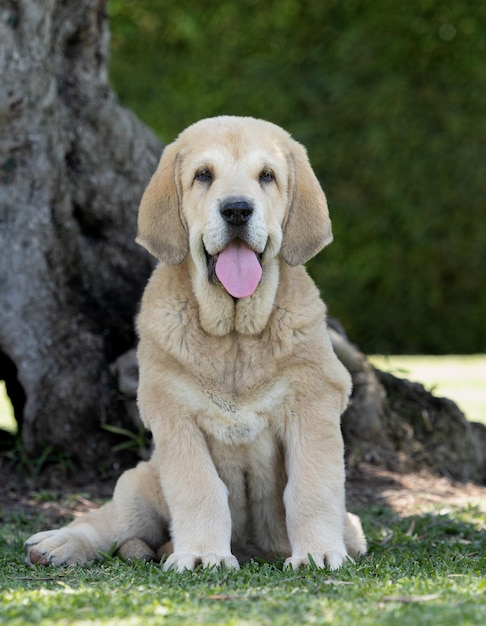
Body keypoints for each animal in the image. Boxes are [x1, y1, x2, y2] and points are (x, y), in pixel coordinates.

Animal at [22, 114, 364, 568]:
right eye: (203, 175)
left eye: (267, 176)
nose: (236, 209)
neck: (235, 337)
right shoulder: (172, 411)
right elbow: (199, 488)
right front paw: (202, 555)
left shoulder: (314, 401)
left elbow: (312, 486)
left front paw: (318, 553)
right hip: (138, 484)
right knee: (109, 522)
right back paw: (57, 543)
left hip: (353, 527)